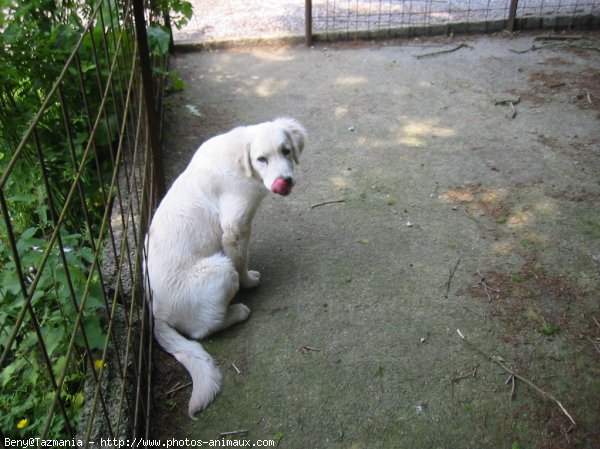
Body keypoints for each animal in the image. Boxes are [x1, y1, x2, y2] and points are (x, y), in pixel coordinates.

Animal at [144, 118, 304, 416]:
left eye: (286, 151)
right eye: (261, 159)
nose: (283, 183)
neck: (241, 160)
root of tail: (156, 313)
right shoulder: (234, 227)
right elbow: (240, 260)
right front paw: (249, 282)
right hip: (220, 269)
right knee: (202, 329)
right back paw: (238, 311)